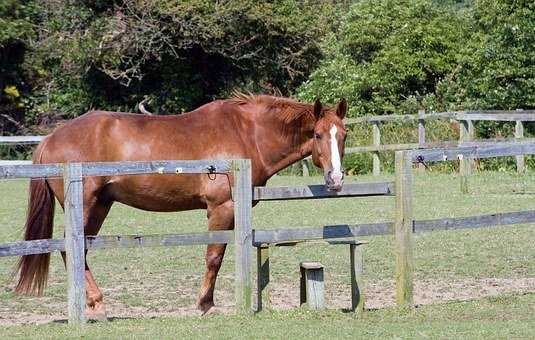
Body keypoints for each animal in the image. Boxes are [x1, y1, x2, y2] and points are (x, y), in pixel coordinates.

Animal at [14, 93, 350, 318]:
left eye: (343, 136)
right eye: (317, 134)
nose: (335, 178)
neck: (246, 132)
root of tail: (51, 138)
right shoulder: (222, 208)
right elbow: (214, 257)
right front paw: (205, 305)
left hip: (100, 207)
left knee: (78, 251)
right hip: (86, 207)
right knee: (70, 249)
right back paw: (95, 304)